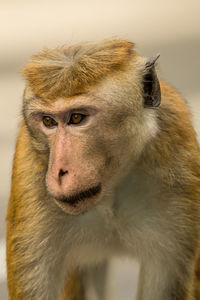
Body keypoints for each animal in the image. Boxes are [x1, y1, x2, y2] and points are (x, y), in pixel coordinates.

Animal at [6, 38, 200, 298]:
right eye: (48, 121)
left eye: (77, 118)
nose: (59, 173)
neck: (109, 191)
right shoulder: (32, 181)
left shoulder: (178, 176)